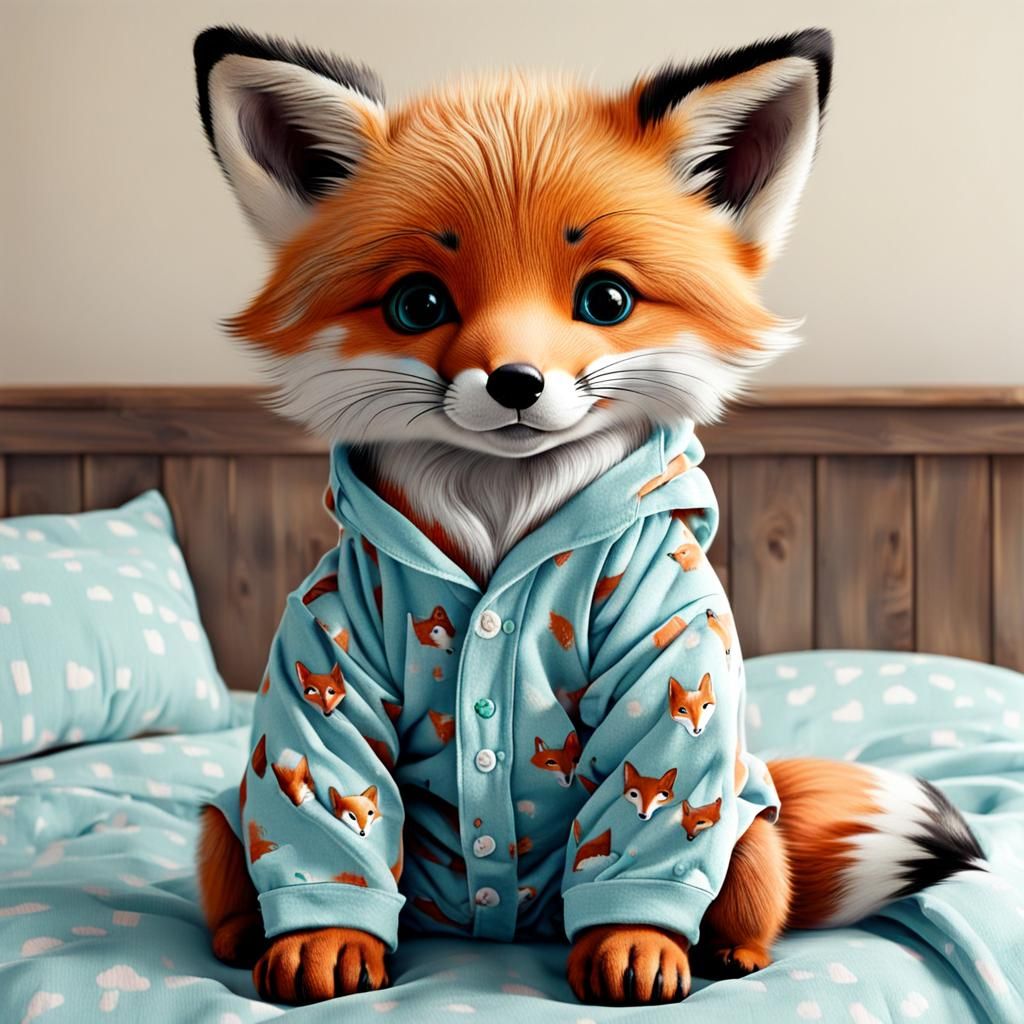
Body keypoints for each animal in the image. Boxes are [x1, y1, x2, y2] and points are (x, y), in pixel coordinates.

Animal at [193, 24, 985, 1010]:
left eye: (606, 299)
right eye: (419, 303)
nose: (515, 382)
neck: (504, 521)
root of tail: (495, 929)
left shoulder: (671, 651)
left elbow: (644, 824)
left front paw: (634, 940)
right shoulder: (327, 653)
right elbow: (332, 813)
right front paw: (327, 936)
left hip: (745, 823)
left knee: (750, 886)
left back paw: (732, 952)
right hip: (226, 822)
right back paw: (239, 937)